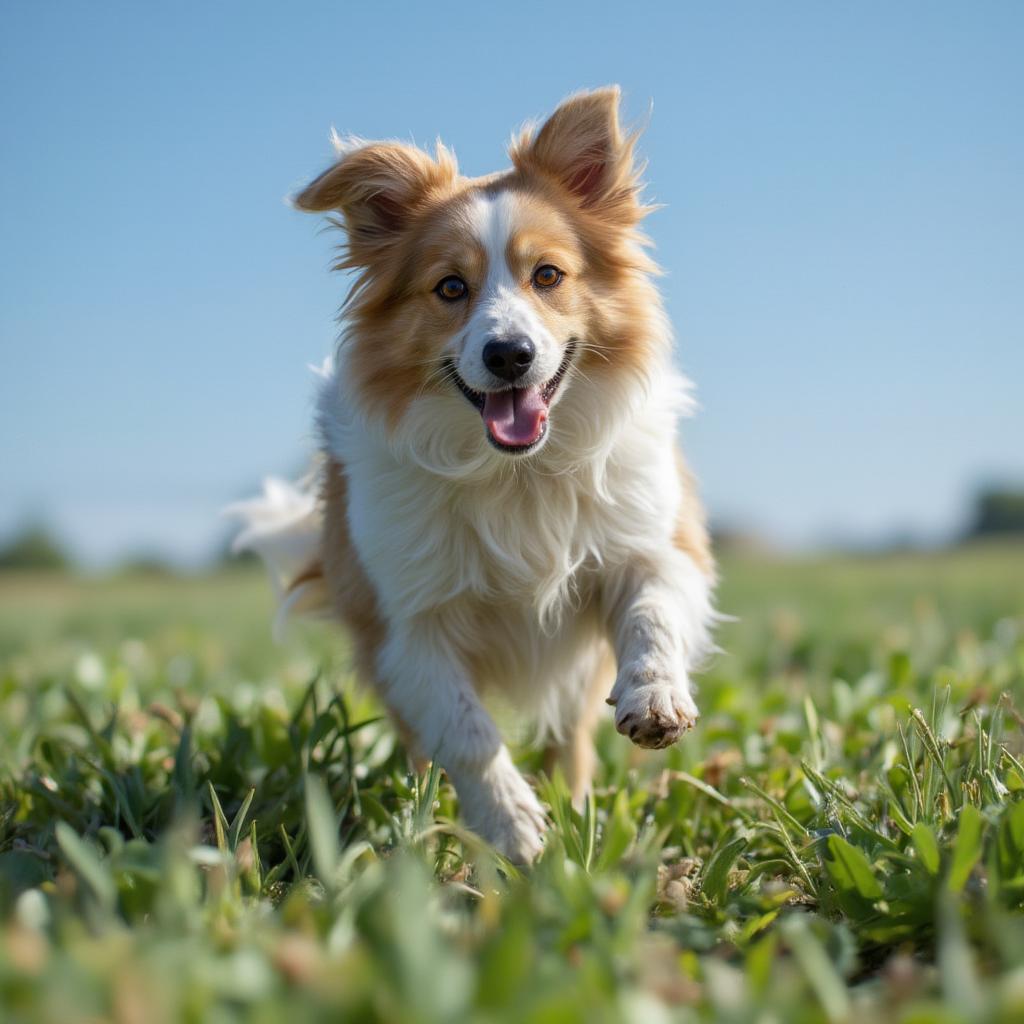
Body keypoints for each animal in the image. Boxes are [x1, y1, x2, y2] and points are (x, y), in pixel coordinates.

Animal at [231, 88, 712, 864]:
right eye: (450, 287)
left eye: (547, 275)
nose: (510, 354)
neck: (517, 475)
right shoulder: (407, 628)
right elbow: (468, 732)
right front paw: (514, 828)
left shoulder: (653, 544)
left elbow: (653, 612)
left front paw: (655, 697)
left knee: (571, 740)